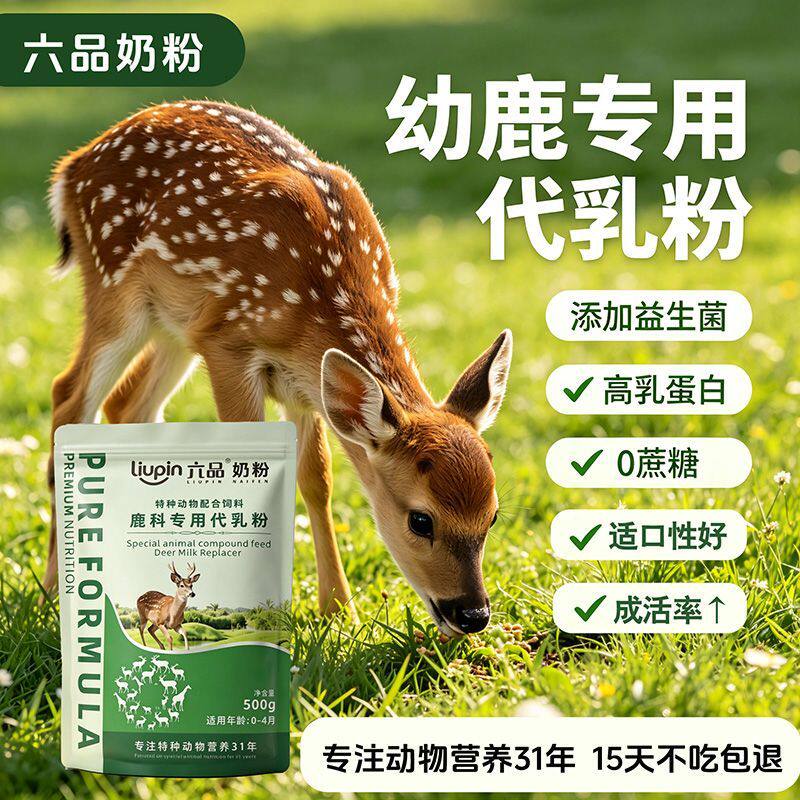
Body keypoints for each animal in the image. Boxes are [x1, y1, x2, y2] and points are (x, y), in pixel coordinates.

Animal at [42, 100, 513, 637]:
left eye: (493, 516)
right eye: (420, 520)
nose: (472, 614)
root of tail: (71, 165)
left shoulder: (304, 382)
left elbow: (316, 480)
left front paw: (339, 611)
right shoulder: (229, 344)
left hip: (176, 325)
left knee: (127, 403)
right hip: (115, 290)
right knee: (69, 395)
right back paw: (54, 593)